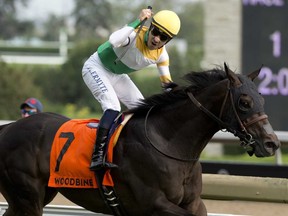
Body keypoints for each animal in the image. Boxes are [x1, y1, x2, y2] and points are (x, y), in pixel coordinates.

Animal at [0, 63, 280, 215]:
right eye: (244, 102)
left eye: (262, 99)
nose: (272, 143)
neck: (169, 142)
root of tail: (9, 128)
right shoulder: (154, 204)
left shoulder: (193, 203)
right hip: (28, 197)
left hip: (30, 197)